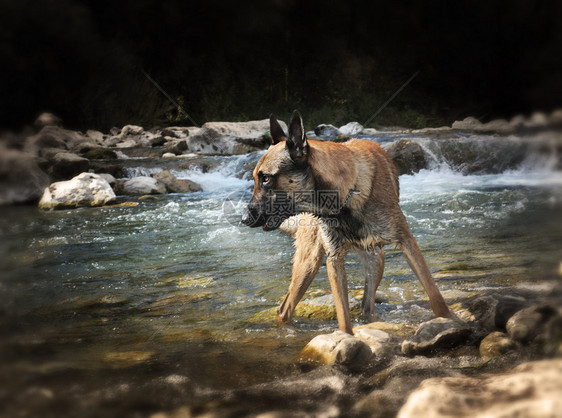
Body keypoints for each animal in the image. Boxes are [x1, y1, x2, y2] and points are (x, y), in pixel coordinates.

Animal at [242, 110, 450, 334]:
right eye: (257, 178)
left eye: (266, 179)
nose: (244, 219)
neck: (343, 199)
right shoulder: (334, 259)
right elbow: (343, 317)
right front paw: (346, 337)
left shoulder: (407, 242)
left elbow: (436, 297)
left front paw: (448, 320)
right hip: (309, 263)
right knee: (285, 309)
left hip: (376, 259)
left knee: (367, 306)